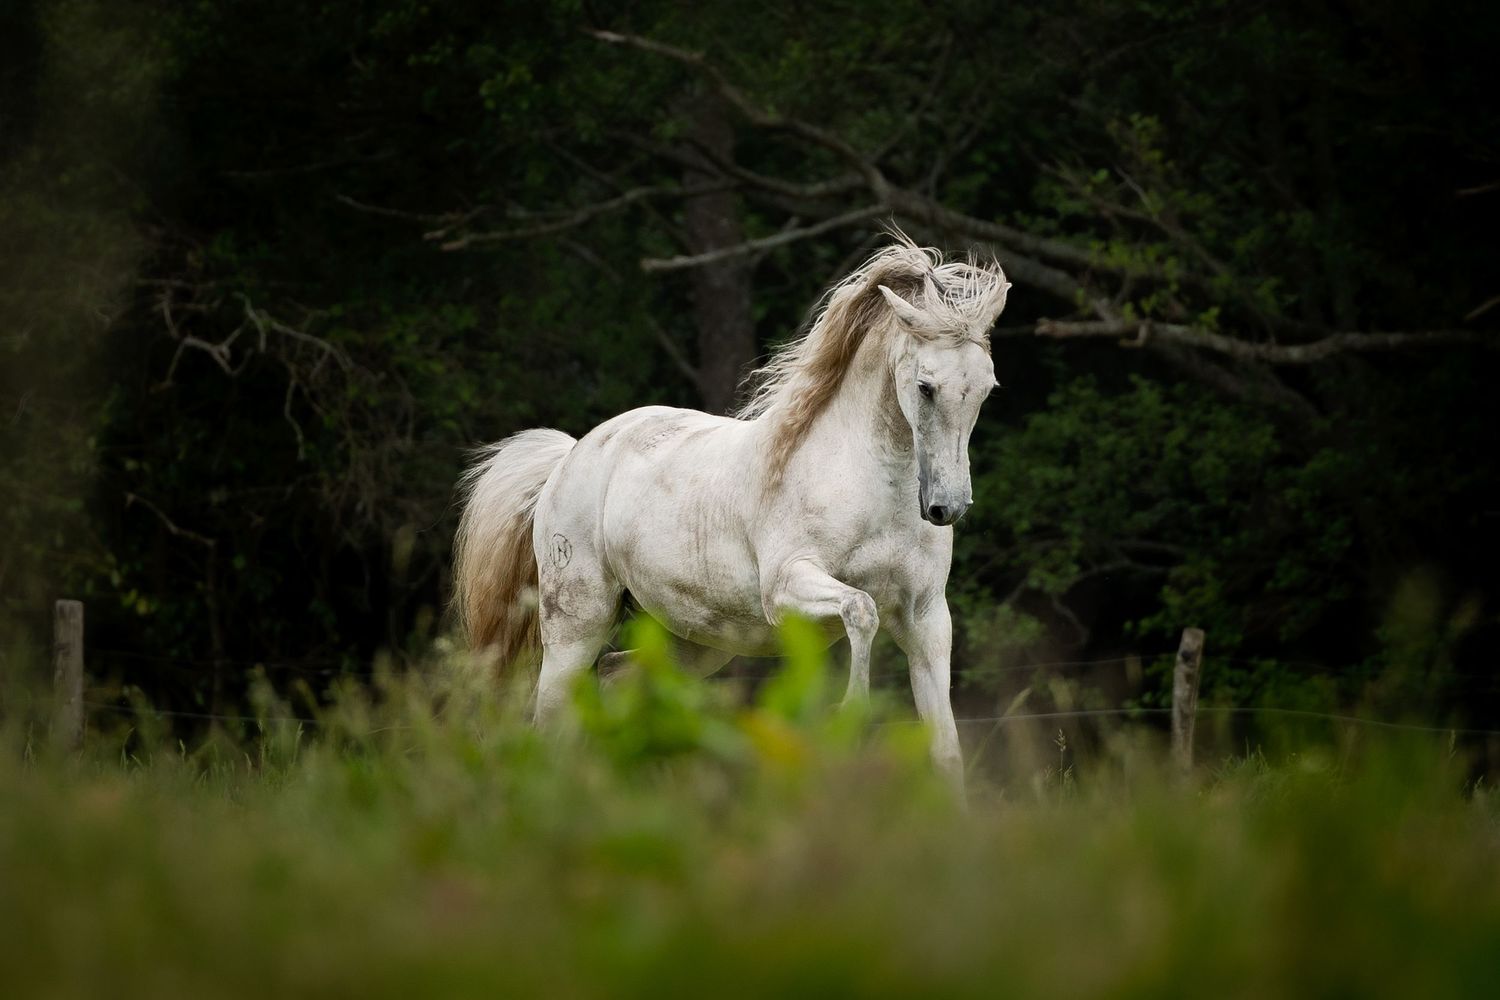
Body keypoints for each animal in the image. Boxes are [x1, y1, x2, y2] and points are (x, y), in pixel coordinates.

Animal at [453, 234, 1010, 794]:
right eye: (925, 386)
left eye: (988, 388)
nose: (946, 507)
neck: (865, 480)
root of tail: (569, 459)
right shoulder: (785, 591)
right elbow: (862, 610)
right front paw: (849, 717)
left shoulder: (925, 616)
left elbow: (946, 749)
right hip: (576, 625)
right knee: (551, 721)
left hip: (694, 639)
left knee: (613, 679)